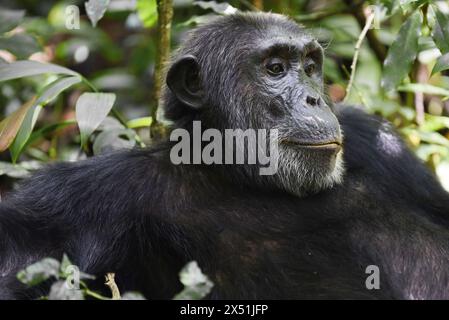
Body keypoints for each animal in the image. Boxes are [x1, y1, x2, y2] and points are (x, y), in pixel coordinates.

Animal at [0, 11, 448, 298]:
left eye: (309, 65)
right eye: (274, 68)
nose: (315, 98)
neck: (243, 178)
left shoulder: (379, 145)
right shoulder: (93, 195)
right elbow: (19, 261)